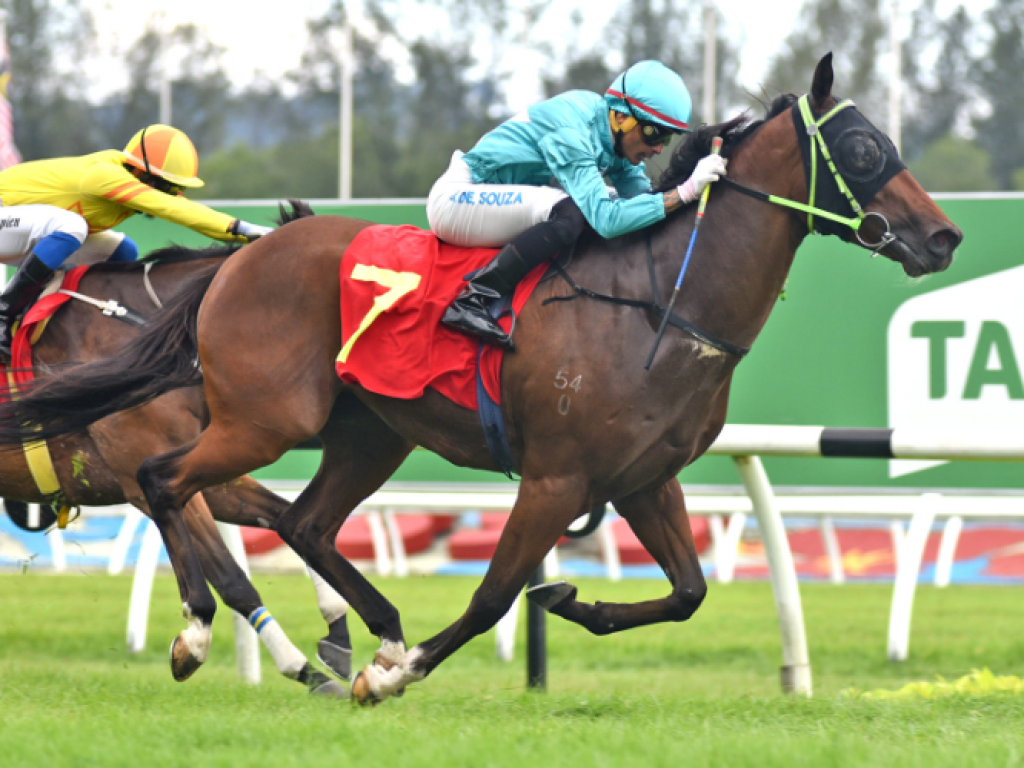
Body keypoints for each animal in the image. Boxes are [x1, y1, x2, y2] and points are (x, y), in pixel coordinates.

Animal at [2, 234, 352, 696]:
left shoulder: (204, 474)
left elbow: (283, 519)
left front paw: (335, 635)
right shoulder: (145, 479)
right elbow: (232, 580)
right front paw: (293, 666)